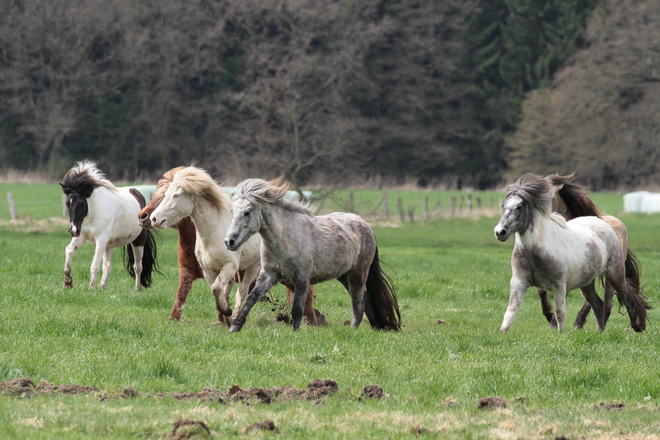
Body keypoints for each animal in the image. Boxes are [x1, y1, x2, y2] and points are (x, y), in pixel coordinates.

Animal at [60, 160, 161, 290]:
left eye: (81, 203)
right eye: (68, 203)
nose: (72, 230)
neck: (93, 212)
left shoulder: (100, 239)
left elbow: (94, 265)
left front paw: (90, 288)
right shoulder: (82, 236)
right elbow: (69, 249)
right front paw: (68, 281)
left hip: (138, 240)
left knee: (138, 266)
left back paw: (137, 289)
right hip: (109, 244)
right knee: (108, 265)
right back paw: (102, 287)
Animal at [139, 167, 324, 324]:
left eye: (176, 195)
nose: (152, 218)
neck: (212, 234)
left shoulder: (229, 266)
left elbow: (218, 289)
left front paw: (227, 313)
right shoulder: (208, 271)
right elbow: (216, 290)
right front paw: (223, 315)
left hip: (254, 267)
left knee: (243, 291)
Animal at [223, 177, 402, 332]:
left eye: (247, 212)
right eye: (232, 211)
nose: (229, 241)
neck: (285, 238)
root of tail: (366, 226)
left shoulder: (302, 277)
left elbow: (297, 309)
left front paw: (295, 332)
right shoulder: (269, 275)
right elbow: (251, 298)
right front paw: (235, 327)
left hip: (358, 274)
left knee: (358, 304)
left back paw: (353, 330)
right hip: (344, 276)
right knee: (366, 300)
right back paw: (375, 327)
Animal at [496, 174, 648, 332]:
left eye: (519, 207)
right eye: (503, 206)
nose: (500, 232)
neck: (535, 250)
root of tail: (605, 223)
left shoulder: (559, 284)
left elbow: (560, 312)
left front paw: (558, 331)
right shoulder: (519, 281)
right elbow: (511, 310)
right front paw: (502, 332)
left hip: (613, 274)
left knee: (620, 298)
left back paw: (635, 326)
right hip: (587, 282)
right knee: (597, 304)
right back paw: (598, 332)